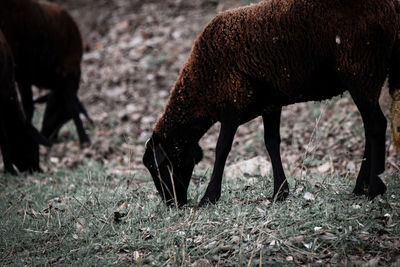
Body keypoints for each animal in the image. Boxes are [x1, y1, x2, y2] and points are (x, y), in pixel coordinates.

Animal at [0, 0, 91, 147]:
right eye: (60, 112)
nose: (50, 137)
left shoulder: (23, 77)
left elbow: (28, 107)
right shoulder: (66, 71)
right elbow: (73, 106)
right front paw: (84, 139)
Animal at [143, 0, 400, 207]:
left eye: (158, 167)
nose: (172, 204)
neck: (202, 84)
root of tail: (391, 9)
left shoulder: (232, 103)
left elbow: (222, 149)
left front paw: (209, 197)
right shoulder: (271, 105)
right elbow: (271, 143)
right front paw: (280, 192)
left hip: (360, 69)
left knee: (376, 125)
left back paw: (373, 190)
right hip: (368, 71)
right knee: (370, 128)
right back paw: (361, 188)